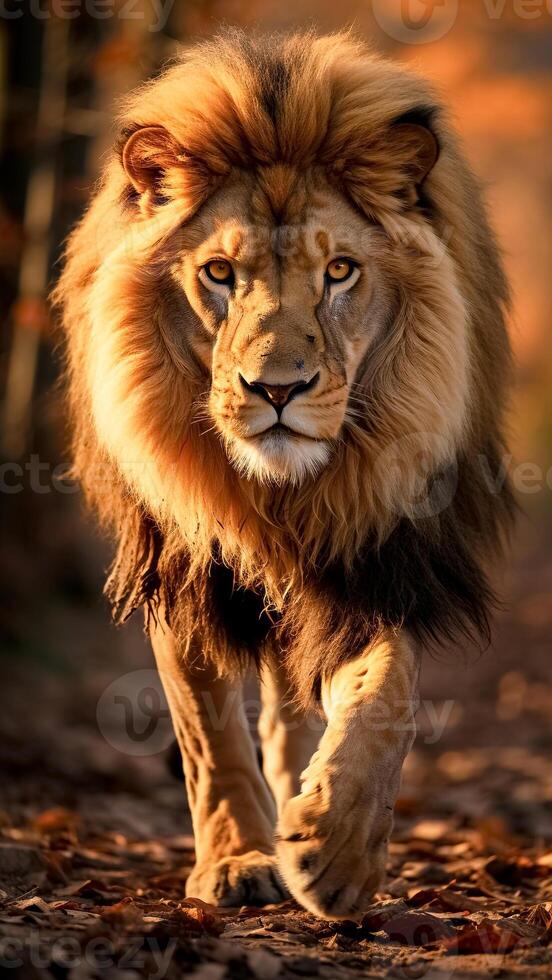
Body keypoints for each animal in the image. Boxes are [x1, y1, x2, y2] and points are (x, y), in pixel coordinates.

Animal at [55, 29, 515, 919]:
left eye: (339, 272)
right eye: (219, 274)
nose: (276, 390)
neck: (278, 496)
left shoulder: (375, 556)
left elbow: (387, 696)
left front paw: (337, 850)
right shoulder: (183, 559)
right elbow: (206, 729)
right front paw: (237, 858)